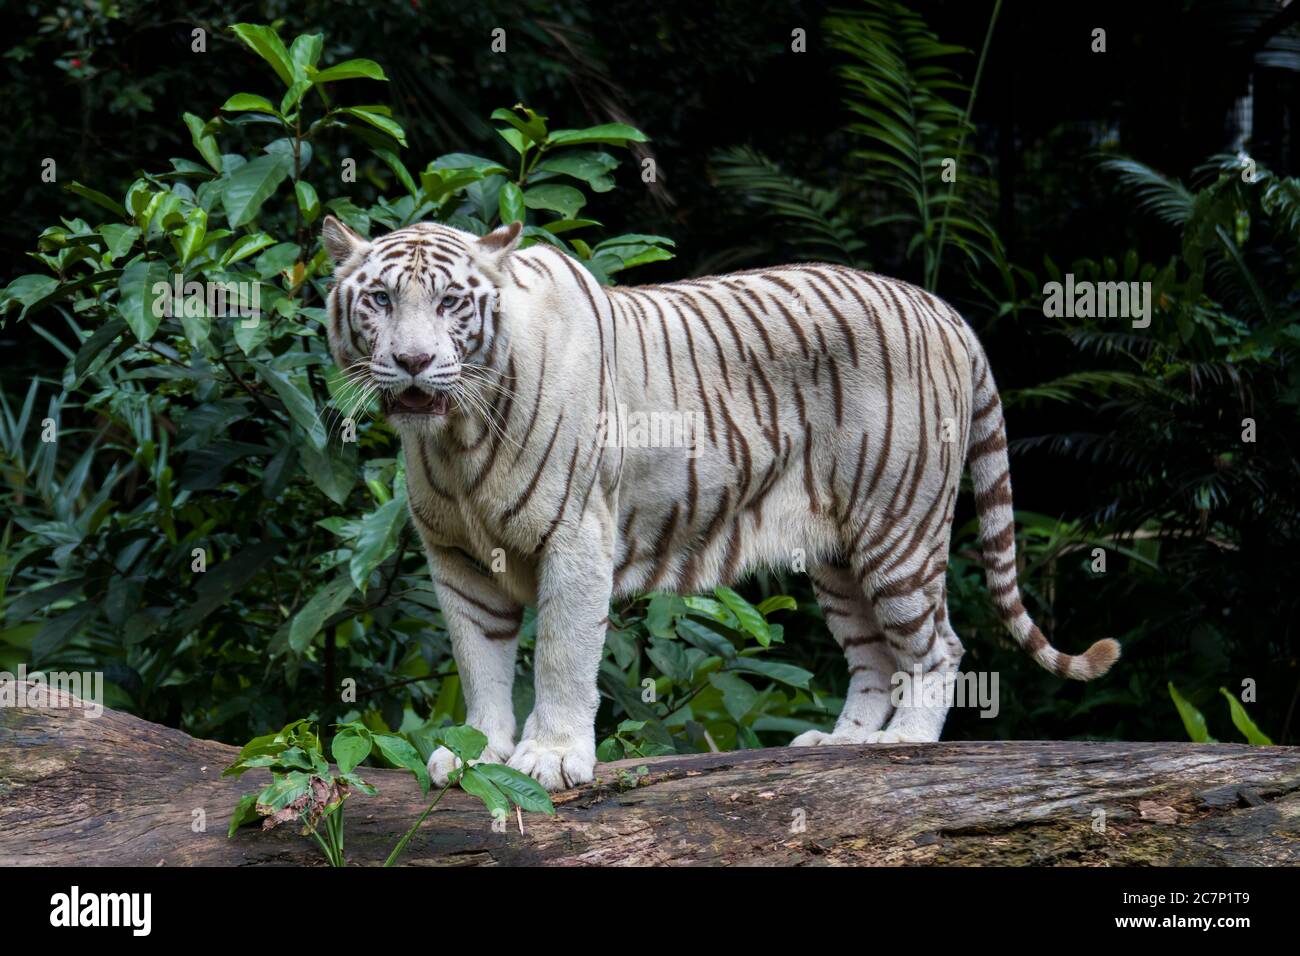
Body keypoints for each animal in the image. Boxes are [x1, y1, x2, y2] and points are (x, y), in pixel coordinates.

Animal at [321, 215, 1120, 792]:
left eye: (451, 302)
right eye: (381, 299)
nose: (415, 362)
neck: (457, 439)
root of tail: (943, 309)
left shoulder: (576, 540)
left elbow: (561, 658)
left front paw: (549, 758)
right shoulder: (457, 558)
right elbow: (480, 665)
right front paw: (478, 754)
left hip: (898, 529)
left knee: (938, 646)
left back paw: (906, 745)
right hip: (838, 556)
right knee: (872, 654)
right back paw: (845, 746)